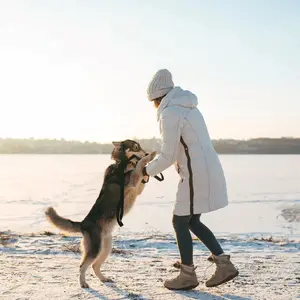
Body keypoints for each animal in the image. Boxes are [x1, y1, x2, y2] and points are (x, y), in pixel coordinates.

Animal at [45, 141, 157, 288]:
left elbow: (141, 173)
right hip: (95, 248)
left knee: (94, 266)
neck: (121, 164)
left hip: (106, 248)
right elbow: (139, 165)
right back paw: (83, 283)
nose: (146, 152)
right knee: (82, 266)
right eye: (136, 147)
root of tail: (83, 223)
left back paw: (104, 278)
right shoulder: (133, 180)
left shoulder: (137, 187)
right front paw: (150, 156)